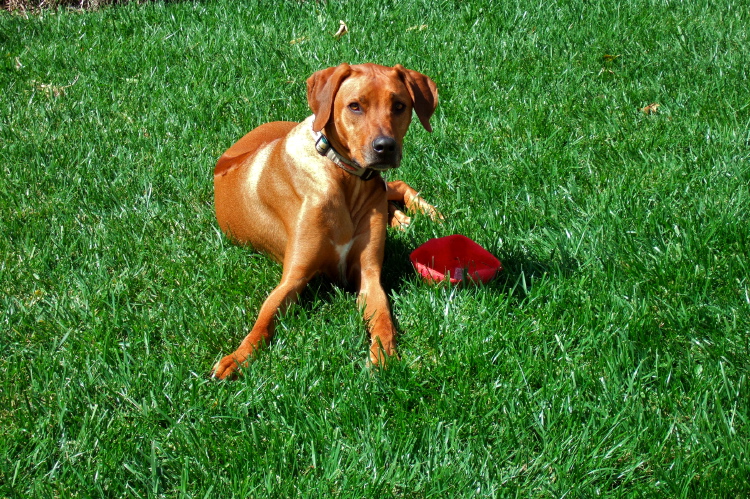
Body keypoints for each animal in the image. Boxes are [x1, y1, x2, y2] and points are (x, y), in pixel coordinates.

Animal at [212, 63, 440, 378]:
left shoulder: (368, 274)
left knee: (395, 184)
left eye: (399, 106)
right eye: (355, 106)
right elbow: (265, 319)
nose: (385, 146)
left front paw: (383, 354)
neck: (345, 178)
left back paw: (427, 214)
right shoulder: (294, 277)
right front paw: (238, 357)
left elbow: (383, 317)